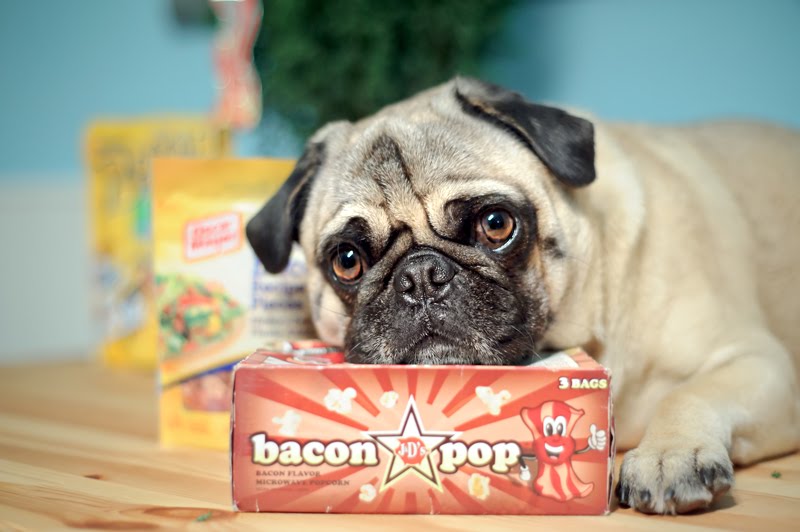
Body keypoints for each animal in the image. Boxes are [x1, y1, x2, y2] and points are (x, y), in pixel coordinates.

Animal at [246, 77, 800, 514]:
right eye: (347, 260)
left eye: (496, 225)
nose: (421, 275)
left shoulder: (761, 360)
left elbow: (688, 392)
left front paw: (671, 455)